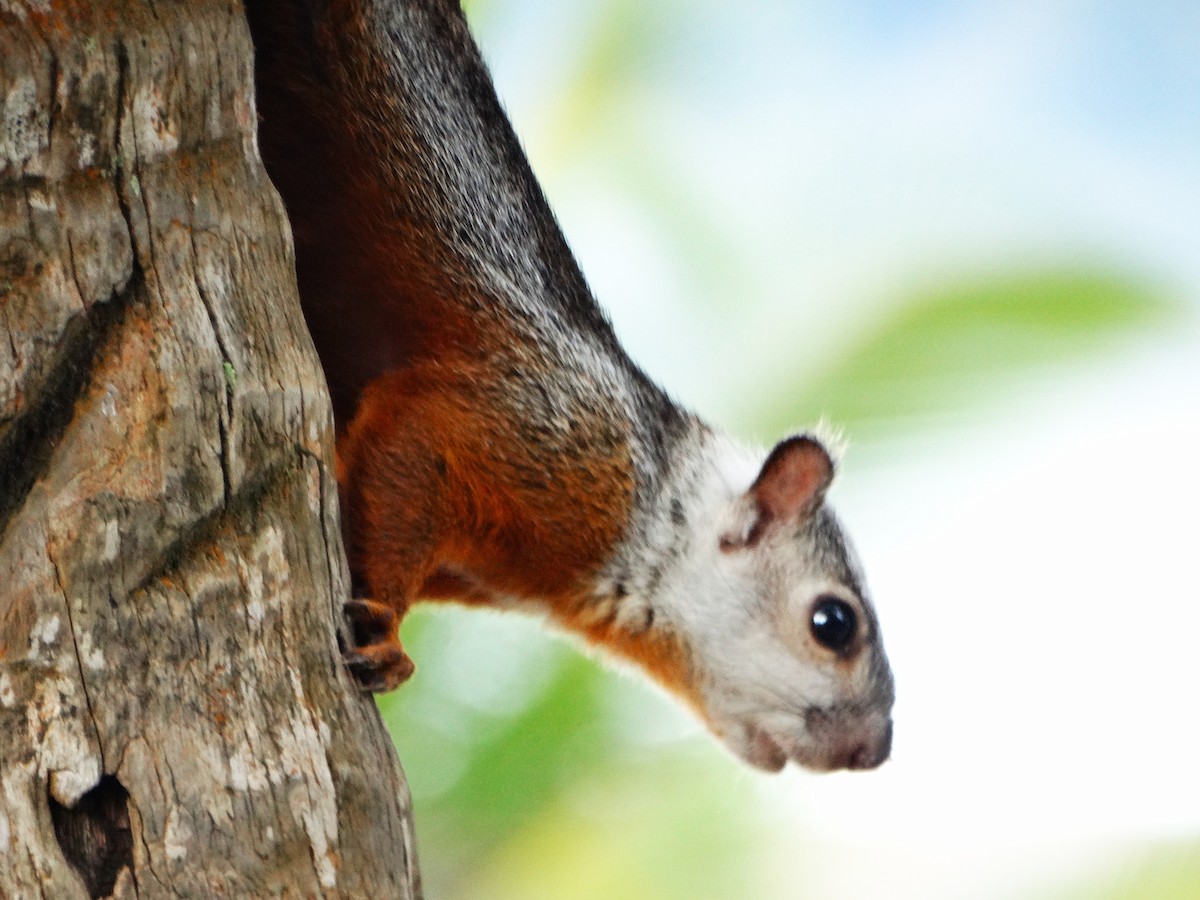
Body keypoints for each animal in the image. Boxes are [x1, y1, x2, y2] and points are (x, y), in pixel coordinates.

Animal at [245, 0, 894, 772]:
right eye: (834, 623)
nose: (876, 750)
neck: (651, 503)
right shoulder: (538, 430)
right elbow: (411, 447)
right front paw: (388, 640)